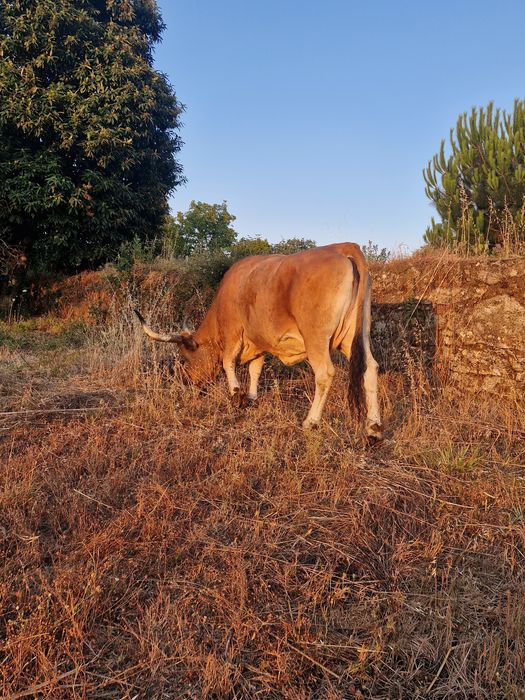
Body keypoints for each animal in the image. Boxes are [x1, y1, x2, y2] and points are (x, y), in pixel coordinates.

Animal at [134, 243, 383, 440]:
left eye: (185, 359)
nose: (186, 382)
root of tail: (342, 247)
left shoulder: (234, 332)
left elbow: (228, 362)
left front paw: (237, 395)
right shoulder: (258, 341)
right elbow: (256, 369)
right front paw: (252, 397)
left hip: (316, 338)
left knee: (325, 374)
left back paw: (311, 421)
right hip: (355, 336)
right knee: (370, 368)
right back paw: (374, 428)